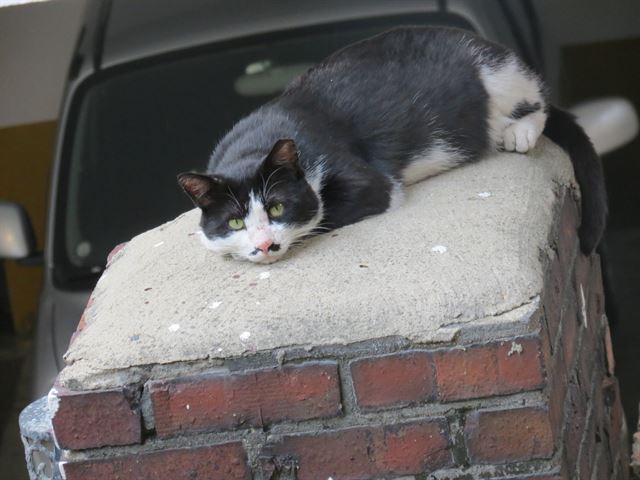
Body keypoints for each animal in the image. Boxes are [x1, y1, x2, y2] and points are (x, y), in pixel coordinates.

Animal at [179, 25, 604, 264]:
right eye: (235, 221)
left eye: (277, 207)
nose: (266, 244)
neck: (254, 144)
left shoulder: (362, 176)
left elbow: (329, 212)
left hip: (498, 71)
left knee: (538, 100)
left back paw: (519, 131)